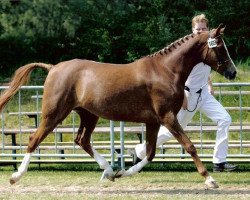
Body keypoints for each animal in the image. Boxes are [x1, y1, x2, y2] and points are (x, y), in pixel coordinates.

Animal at [0, 24, 235, 188]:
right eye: (220, 47)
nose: (232, 72)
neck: (166, 70)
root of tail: (53, 67)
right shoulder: (168, 117)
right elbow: (189, 146)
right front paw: (210, 179)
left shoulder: (153, 121)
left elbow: (150, 152)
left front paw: (124, 172)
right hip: (54, 113)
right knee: (34, 139)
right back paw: (16, 176)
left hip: (89, 115)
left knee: (82, 140)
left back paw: (109, 171)